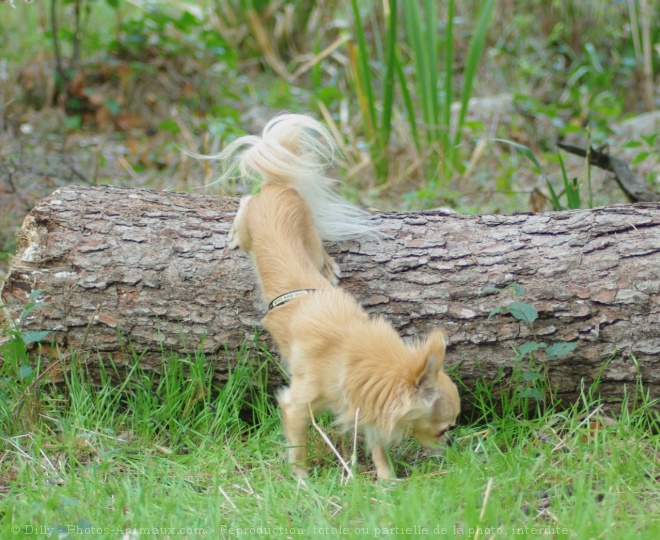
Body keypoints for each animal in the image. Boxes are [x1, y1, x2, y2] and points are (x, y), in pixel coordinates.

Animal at [220, 113, 458, 476]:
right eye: (444, 429)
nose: (452, 444)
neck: (345, 355)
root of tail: (279, 186)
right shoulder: (295, 406)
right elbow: (298, 448)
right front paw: (301, 480)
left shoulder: (362, 405)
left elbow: (376, 445)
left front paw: (387, 479)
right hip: (251, 233)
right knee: (245, 201)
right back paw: (235, 229)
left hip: (309, 238)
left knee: (314, 246)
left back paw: (329, 266)